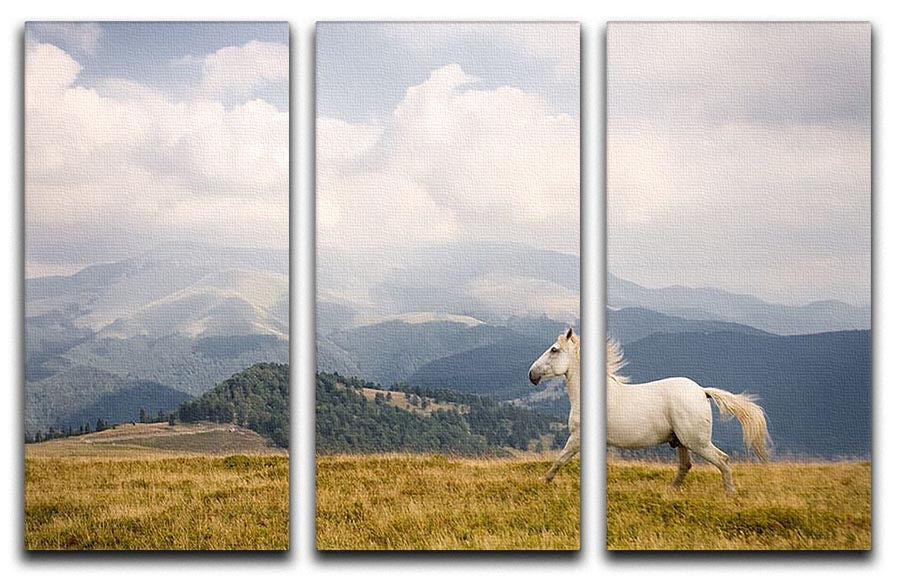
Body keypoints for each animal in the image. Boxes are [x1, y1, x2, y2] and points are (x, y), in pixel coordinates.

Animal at [607, 337, 770, 494]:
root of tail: (703, 391)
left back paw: (729, 492)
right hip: (682, 441)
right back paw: (671, 489)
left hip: (696, 441)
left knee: (722, 459)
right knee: (686, 465)